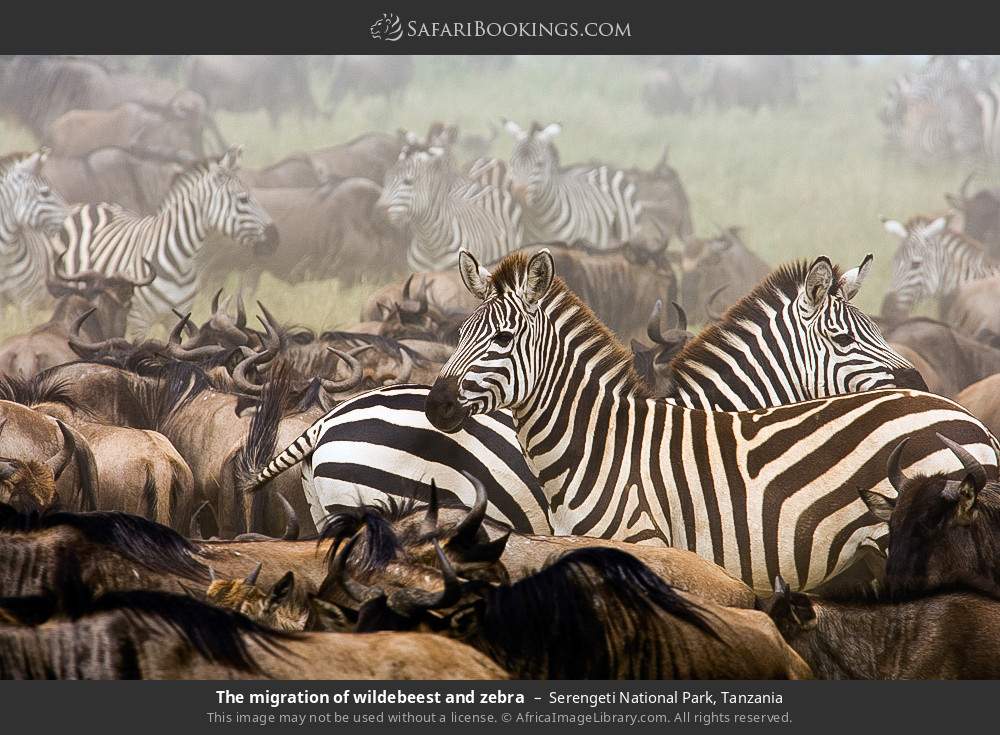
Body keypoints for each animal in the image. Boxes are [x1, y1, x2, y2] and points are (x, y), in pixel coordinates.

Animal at [56, 145, 278, 336]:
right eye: (243, 199)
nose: (275, 237)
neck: (180, 261)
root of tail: (87, 204)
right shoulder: (139, 321)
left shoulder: (177, 317)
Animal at [420, 248, 998, 592]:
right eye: (462, 334)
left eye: (502, 338)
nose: (437, 404)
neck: (599, 444)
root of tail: (969, 418)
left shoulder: (649, 547)